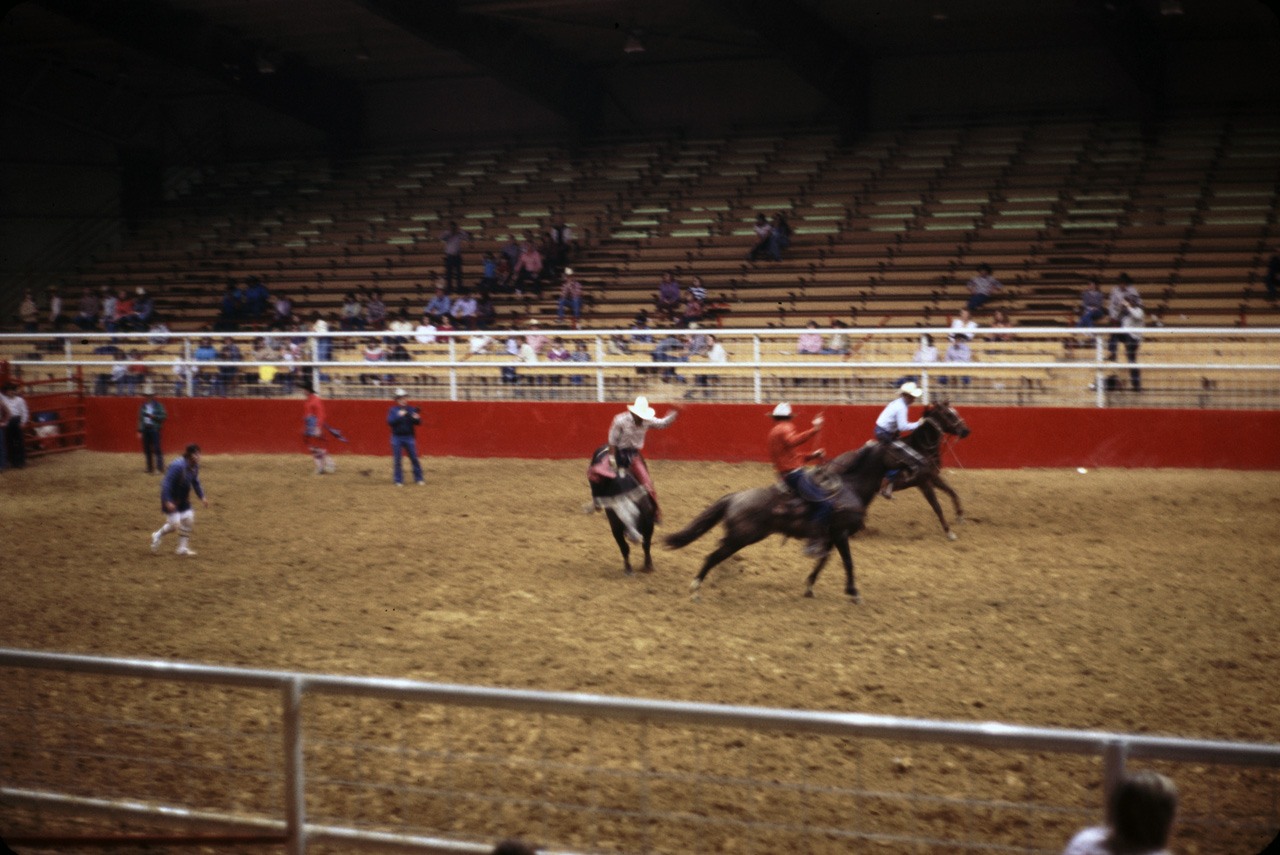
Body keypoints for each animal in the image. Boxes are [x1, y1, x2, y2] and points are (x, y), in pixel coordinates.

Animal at [586, 445, 655, 578]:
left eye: (636, 514)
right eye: (620, 519)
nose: (634, 537)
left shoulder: (649, 524)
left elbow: (646, 544)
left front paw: (648, 566)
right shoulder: (616, 528)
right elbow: (624, 547)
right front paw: (628, 570)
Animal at [665, 440, 896, 601]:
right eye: (899, 448)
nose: (915, 463)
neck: (849, 488)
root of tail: (735, 497)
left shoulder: (831, 536)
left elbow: (823, 561)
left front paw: (810, 587)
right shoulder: (841, 533)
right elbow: (848, 561)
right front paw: (853, 592)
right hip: (739, 539)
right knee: (712, 556)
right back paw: (695, 590)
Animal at [885, 401, 972, 540]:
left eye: (956, 412)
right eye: (949, 414)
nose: (966, 431)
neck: (922, 448)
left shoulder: (934, 477)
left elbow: (952, 491)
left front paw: (960, 516)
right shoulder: (923, 482)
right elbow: (937, 507)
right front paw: (949, 532)